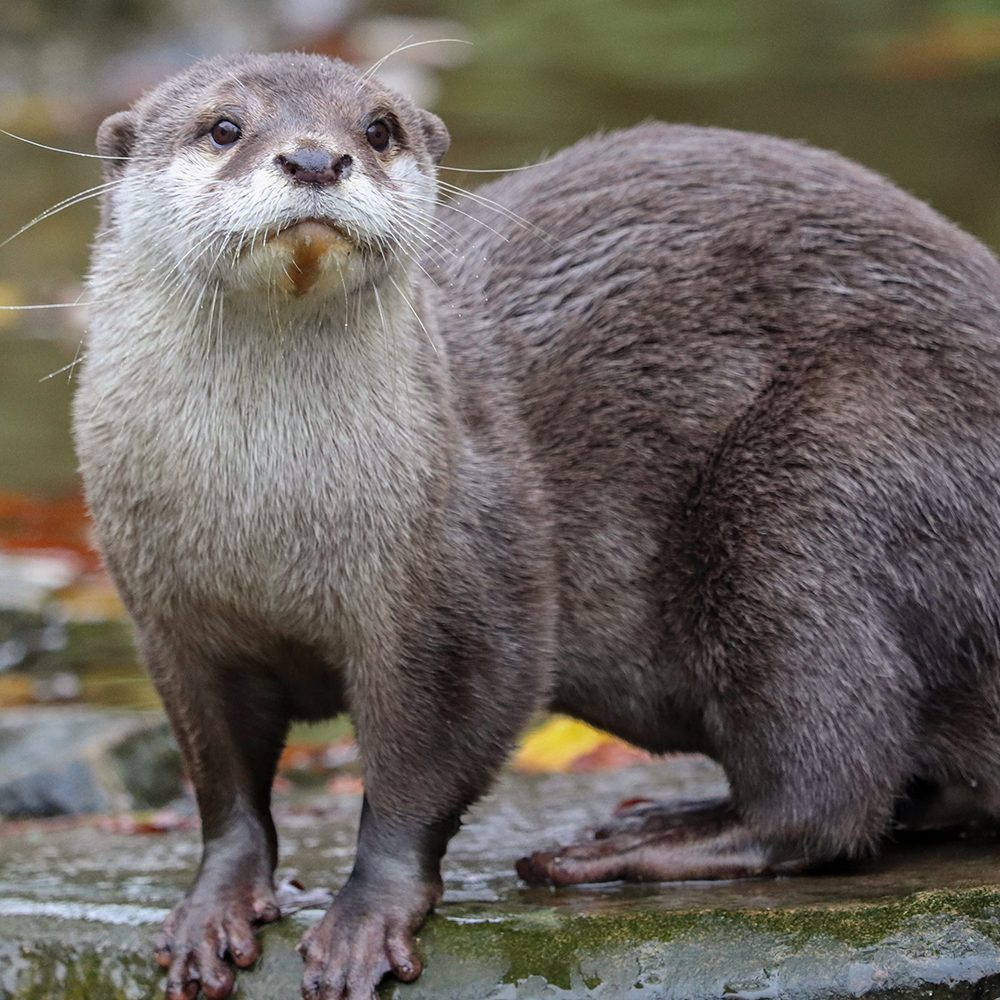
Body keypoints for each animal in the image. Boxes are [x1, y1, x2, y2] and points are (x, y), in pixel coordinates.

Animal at [72, 52, 1000, 1000]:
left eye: (378, 129)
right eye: (224, 127)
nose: (316, 159)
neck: (268, 519)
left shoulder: (457, 571)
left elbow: (431, 760)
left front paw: (366, 917)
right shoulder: (172, 620)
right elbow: (222, 781)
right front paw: (214, 906)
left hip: (823, 479)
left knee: (827, 786)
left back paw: (640, 841)